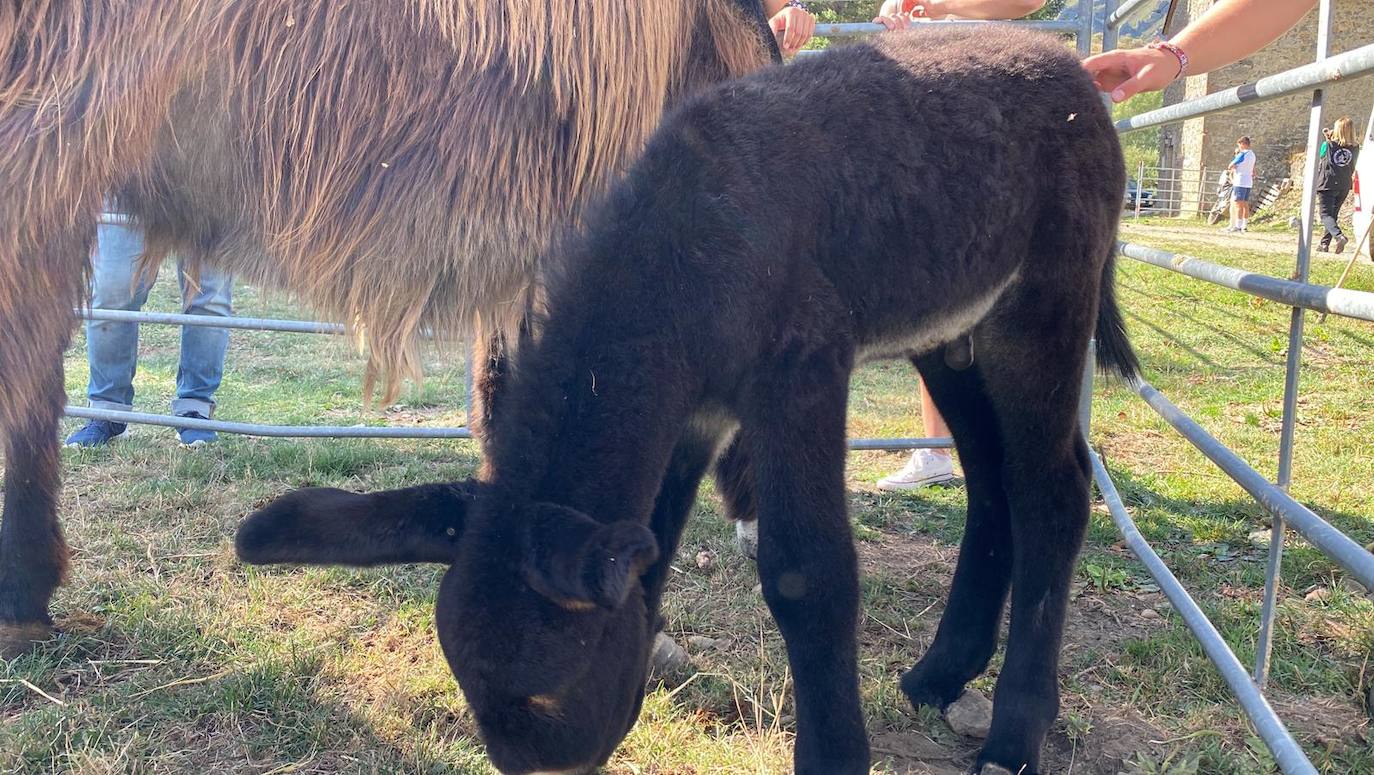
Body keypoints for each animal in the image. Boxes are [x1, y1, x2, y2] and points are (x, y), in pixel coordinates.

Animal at [236, 27, 1137, 775]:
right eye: (467, 686)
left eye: (547, 687)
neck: (674, 255)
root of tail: (1070, 66)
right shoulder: (691, 412)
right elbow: (657, 549)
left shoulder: (801, 367)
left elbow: (805, 572)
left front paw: (836, 755)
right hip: (954, 331)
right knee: (991, 481)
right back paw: (940, 672)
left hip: (1043, 301)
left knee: (1053, 490)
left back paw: (1014, 736)